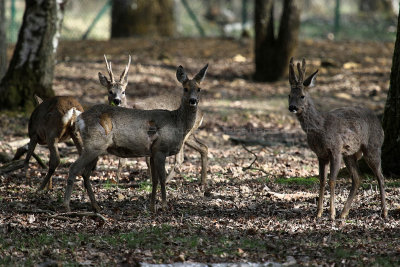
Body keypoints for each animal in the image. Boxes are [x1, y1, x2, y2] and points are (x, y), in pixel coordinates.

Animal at [98, 56, 208, 186]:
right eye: (110, 91)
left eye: (123, 91)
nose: (117, 100)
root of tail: (201, 113)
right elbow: (123, 160)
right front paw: (115, 181)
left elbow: (145, 159)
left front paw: (149, 181)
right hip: (189, 135)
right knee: (203, 147)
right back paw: (203, 182)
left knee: (180, 159)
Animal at [290, 58, 386, 220]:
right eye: (289, 95)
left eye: (302, 95)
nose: (292, 107)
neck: (320, 127)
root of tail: (380, 125)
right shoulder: (321, 155)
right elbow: (322, 180)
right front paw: (319, 213)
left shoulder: (335, 149)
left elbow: (332, 180)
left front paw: (331, 214)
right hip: (350, 154)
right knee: (357, 178)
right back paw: (344, 213)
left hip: (373, 147)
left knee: (380, 175)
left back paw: (384, 212)